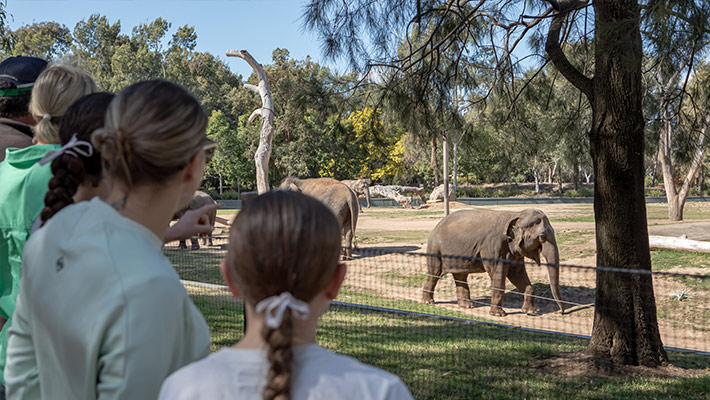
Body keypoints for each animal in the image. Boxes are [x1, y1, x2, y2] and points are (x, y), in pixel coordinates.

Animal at [422, 208, 568, 318]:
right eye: (542, 237)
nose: (562, 312)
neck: (514, 214)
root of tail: (437, 225)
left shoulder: (513, 251)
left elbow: (517, 274)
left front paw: (531, 311)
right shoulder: (493, 246)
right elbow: (498, 275)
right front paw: (499, 314)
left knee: (461, 276)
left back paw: (467, 306)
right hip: (435, 249)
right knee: (435, 274)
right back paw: (428, 302)